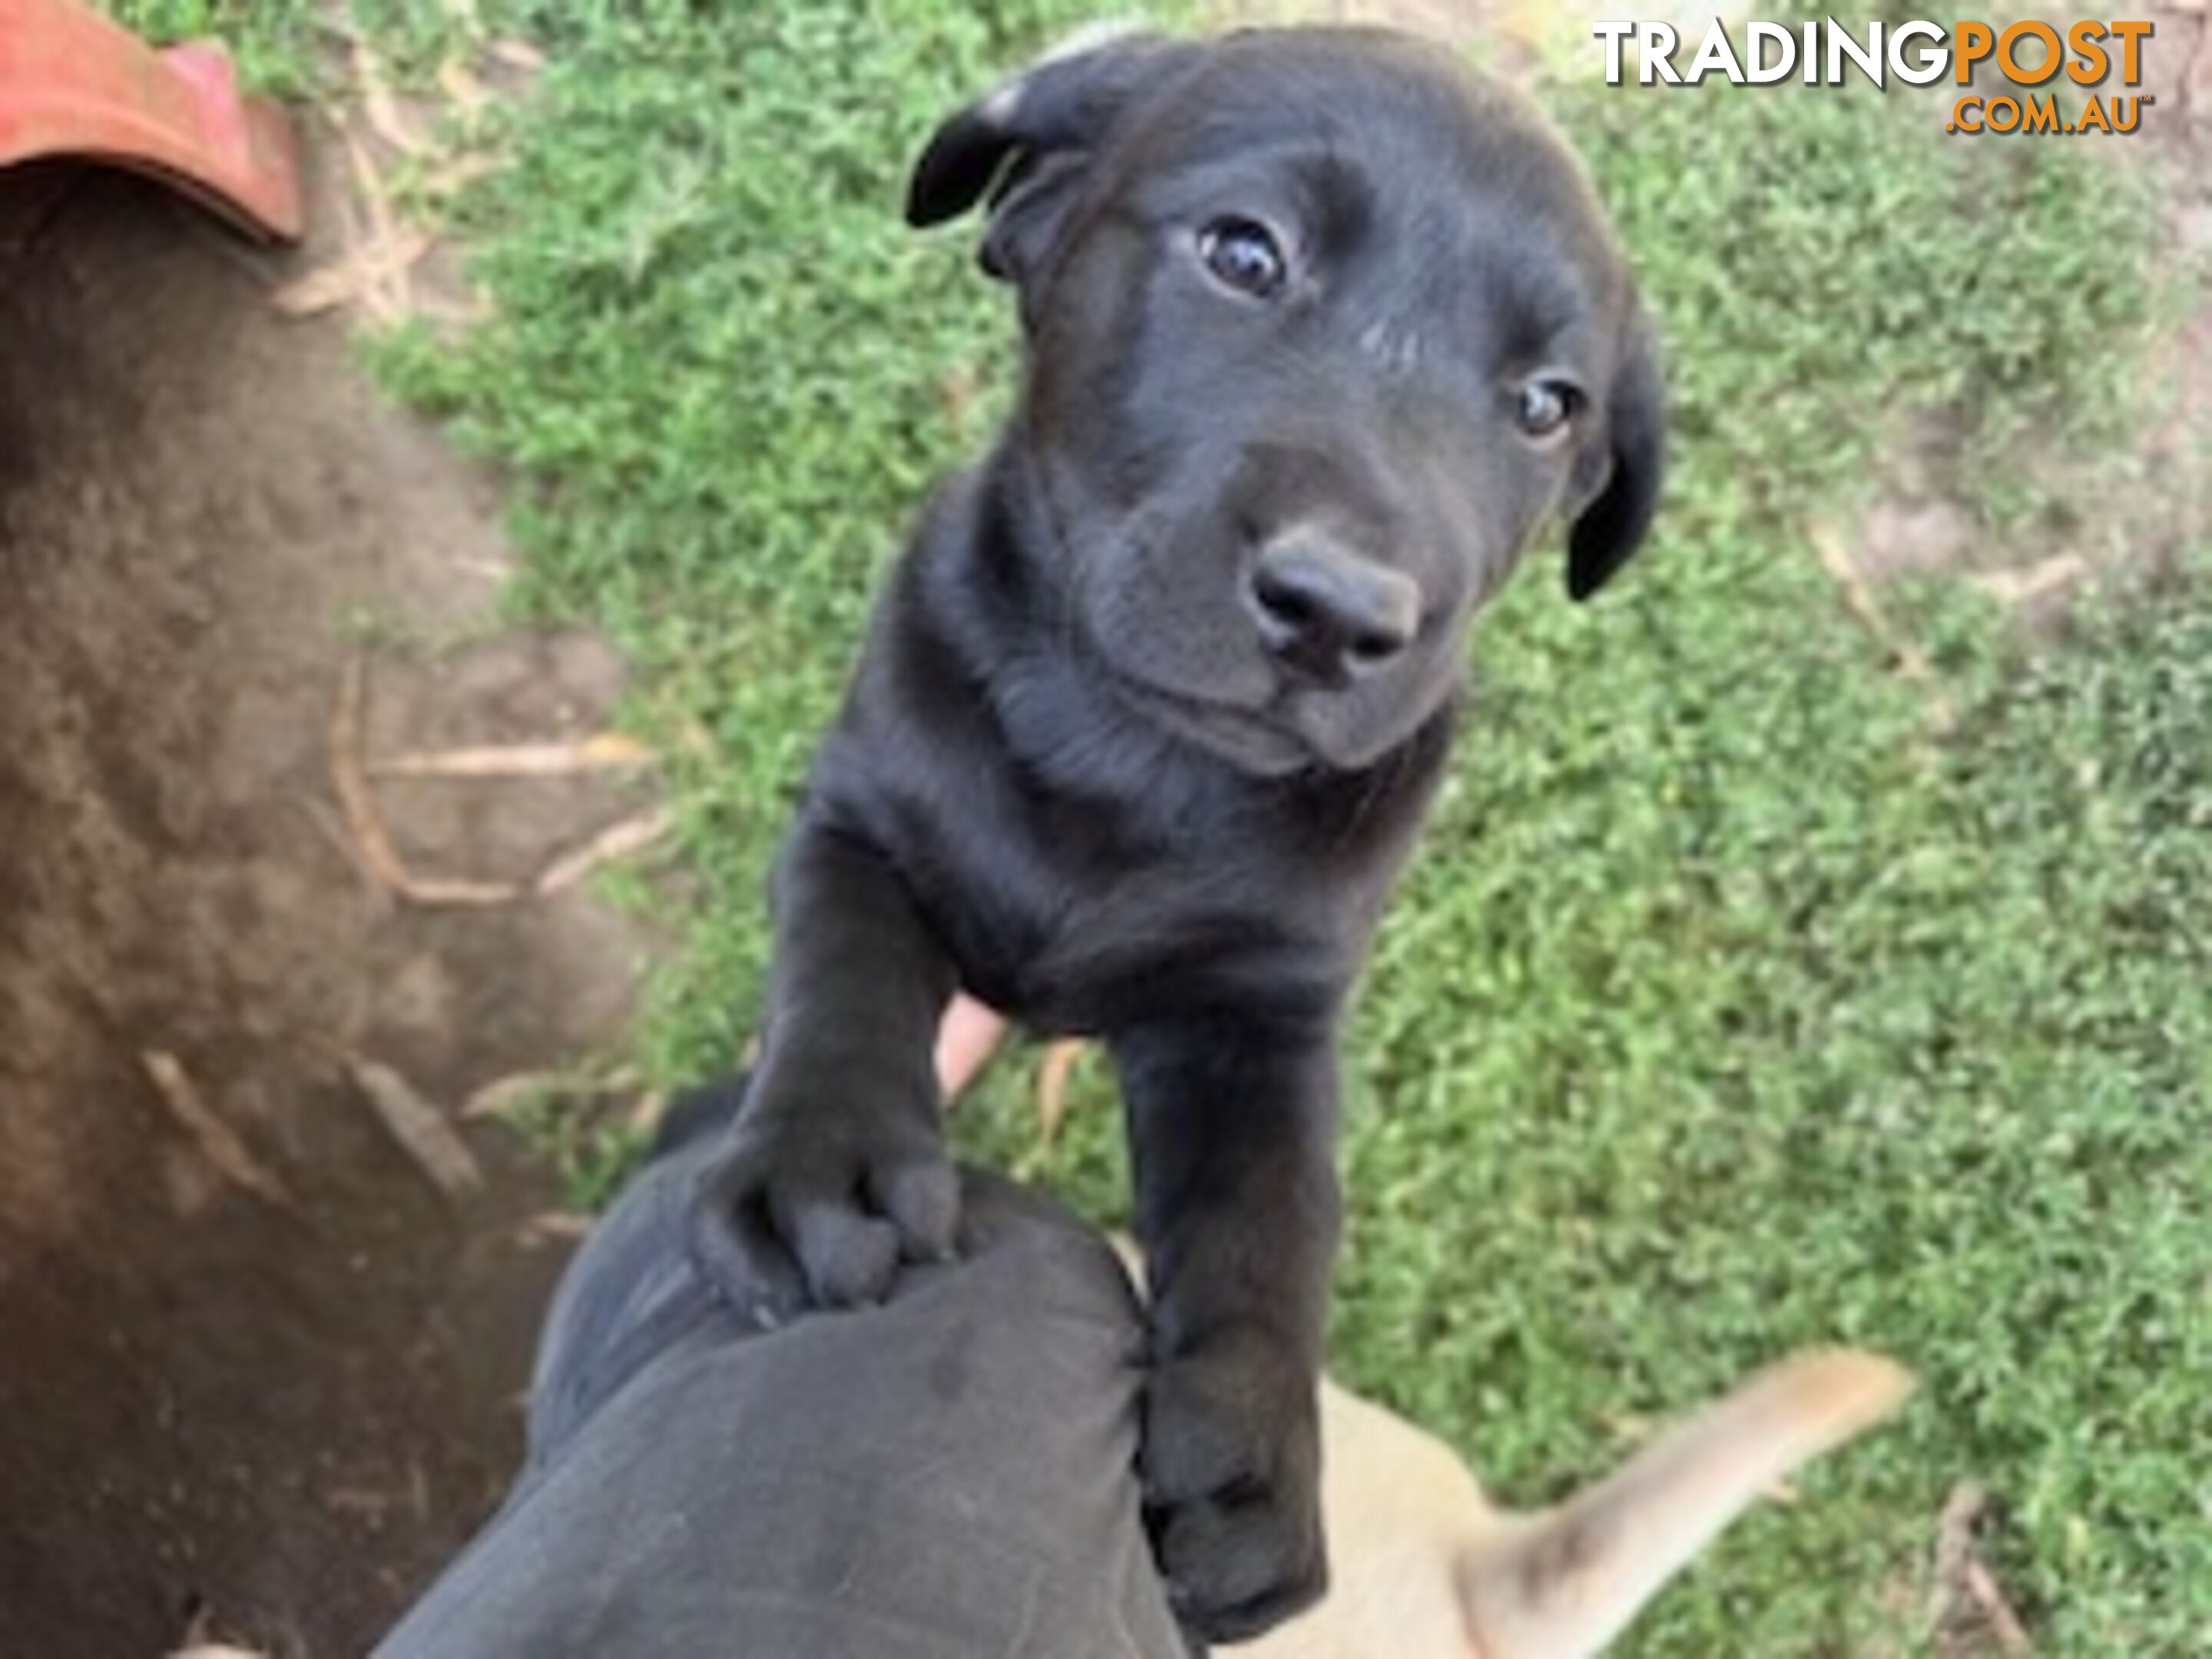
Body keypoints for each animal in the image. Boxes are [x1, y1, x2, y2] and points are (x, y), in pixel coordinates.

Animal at [690, 29, 1663, 1654]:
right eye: (1243, 253)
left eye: (1545, 405)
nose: (1343, 613)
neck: (1132, 754)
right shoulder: (860, 812)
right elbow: (844, 962)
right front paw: (823, 1163)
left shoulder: (1260, 1011)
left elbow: (1271, 1218)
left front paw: (1255, 1466)